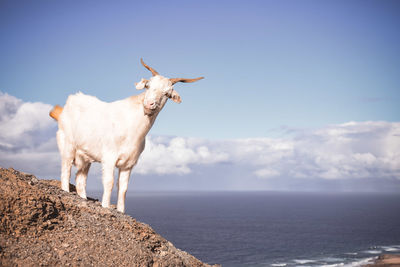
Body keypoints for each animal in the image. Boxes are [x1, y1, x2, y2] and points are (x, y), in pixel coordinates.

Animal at [50, 59, 205, 214]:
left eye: (166, 93)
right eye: (148, 86)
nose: (149, 104)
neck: (131, 128)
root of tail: (69, 103)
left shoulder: (129, 164)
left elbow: (123, 188)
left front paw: (121, 211)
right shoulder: (109, 158)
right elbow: (109, 183)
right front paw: (105, 207)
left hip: (85, 158)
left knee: (80, 180)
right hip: (68, 146)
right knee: (65, 172)